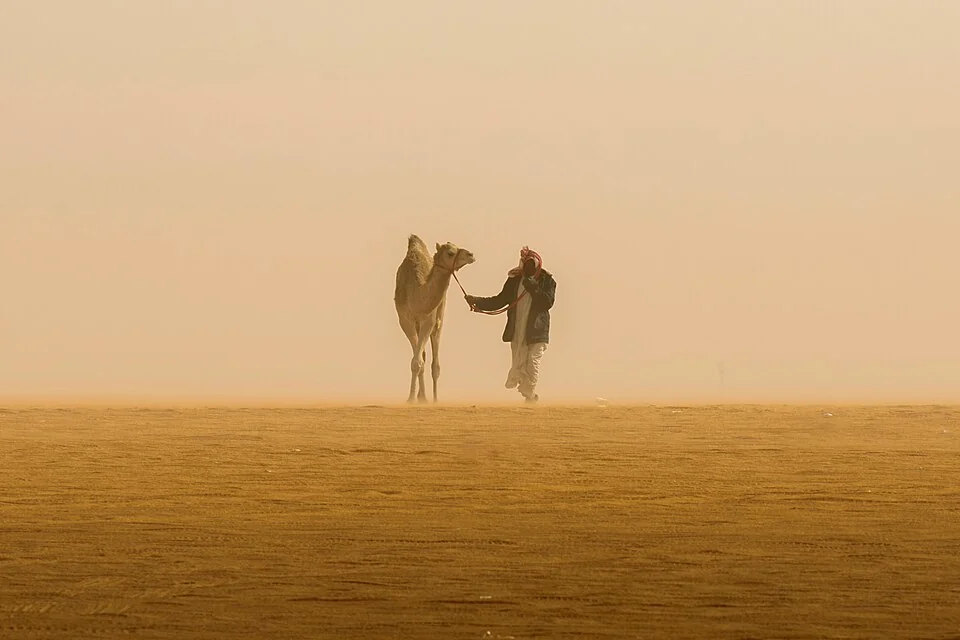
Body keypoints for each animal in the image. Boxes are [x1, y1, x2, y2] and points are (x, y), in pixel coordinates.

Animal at [394, 234, 475, 403]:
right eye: (450, 253)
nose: (471, 255)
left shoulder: (429, 320)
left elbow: (419, 362)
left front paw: (421, 399)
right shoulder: (405, 320)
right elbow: (416, 362)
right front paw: (411, 398)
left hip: (439, 317)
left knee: (435, 364)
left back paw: (433, 399)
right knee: (424, 356)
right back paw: (421, 396)